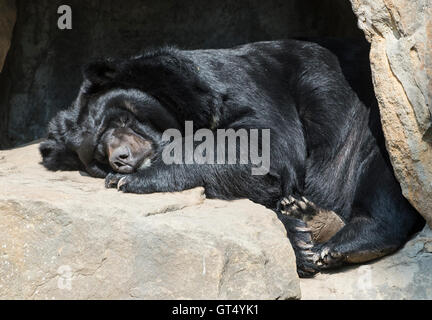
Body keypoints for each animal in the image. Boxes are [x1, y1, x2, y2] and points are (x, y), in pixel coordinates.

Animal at [38, 39, 424, 278]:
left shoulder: (242, 85)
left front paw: (133, 179)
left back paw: (348, 240)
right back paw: (312, 219)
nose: (121, 159)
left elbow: (264, 143)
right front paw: (299, 240)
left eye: (120, 119)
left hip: (373, 122)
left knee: (382, 173)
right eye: (97, 155)